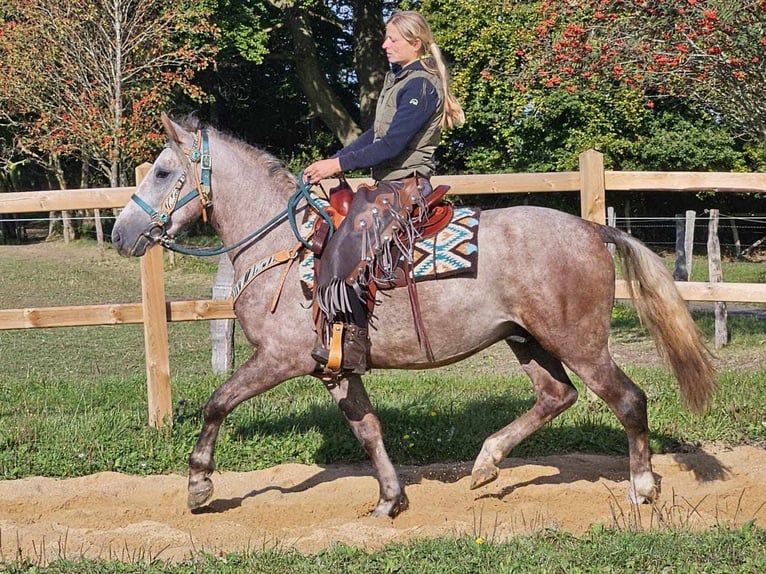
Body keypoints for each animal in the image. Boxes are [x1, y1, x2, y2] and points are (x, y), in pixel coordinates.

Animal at [114, 115, 720, 520]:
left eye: (163, 171)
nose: (122, 234)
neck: (287, 245)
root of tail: (593, 229)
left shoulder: (280, 359)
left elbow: (218, 402)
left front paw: (198, 485)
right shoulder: (334, 368)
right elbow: (368, 430)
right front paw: (389, 499)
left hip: (581, 344)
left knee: (628, 400)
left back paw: (642, 487)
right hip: (526, 339)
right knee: (556, 396)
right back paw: (485, 463)